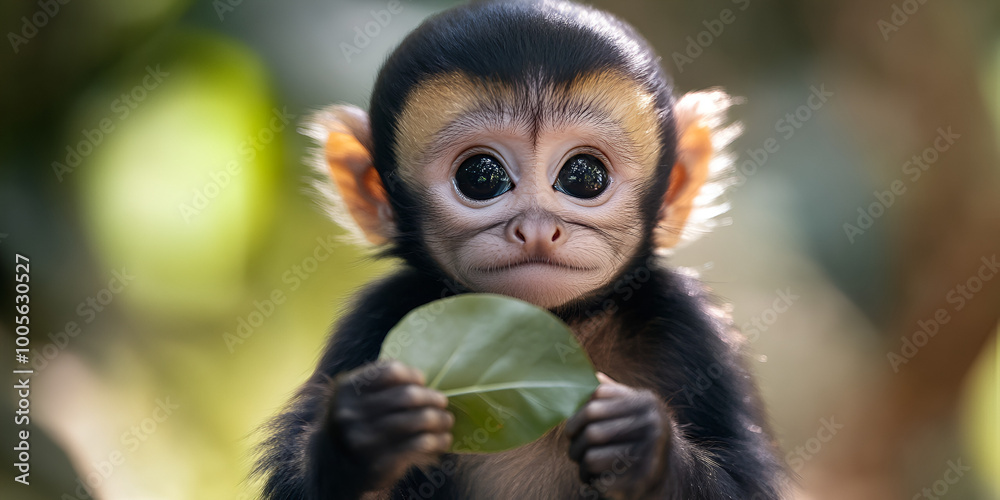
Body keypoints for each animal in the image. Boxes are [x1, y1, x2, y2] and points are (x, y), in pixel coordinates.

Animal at [254, 1, 785, 499]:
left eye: (584, 176)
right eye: (479, 176)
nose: (536, 228)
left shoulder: (690, 325)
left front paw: (640, 446)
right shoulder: (373, 319)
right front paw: (364, 434)